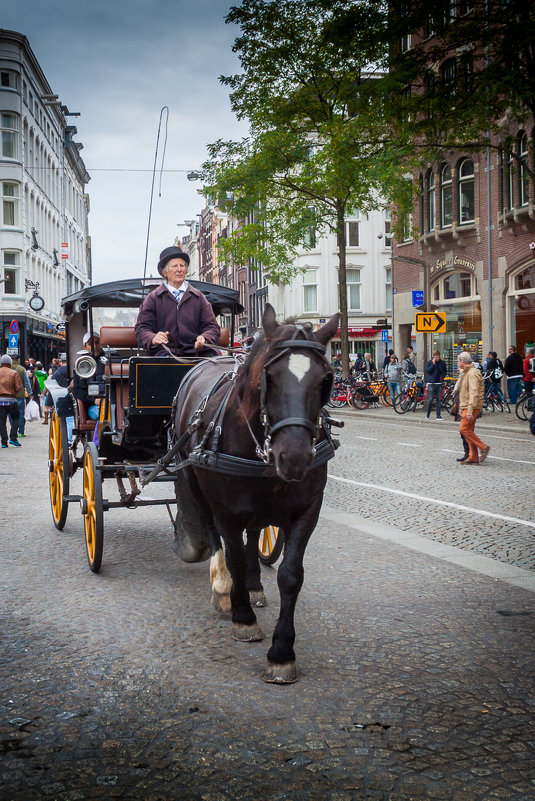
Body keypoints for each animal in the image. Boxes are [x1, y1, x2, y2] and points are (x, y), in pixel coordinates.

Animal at [172, 304, 340, 680]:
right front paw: (243, 618)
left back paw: (252, 586)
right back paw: (224, 589)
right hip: (195, 482)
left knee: (254, 535)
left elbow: (291, 575)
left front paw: (282, 652)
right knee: (213, 535)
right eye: (270, 377)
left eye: (325, 380)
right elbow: (233, 555)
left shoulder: (307, 510)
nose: (294, 457)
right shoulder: (227, 511)